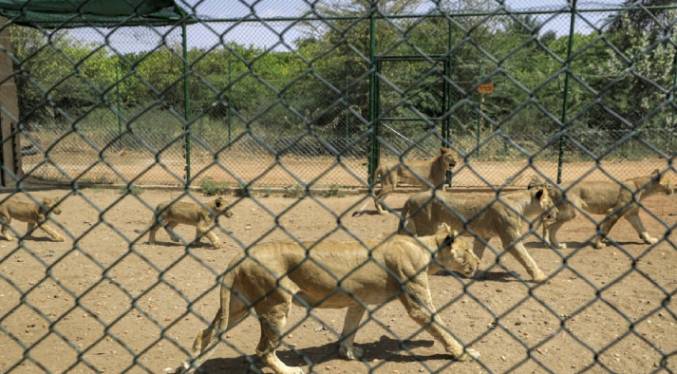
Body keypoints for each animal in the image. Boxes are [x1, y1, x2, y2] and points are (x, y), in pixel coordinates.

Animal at [174, 225, 480, 374]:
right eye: (468, 250)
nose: (477, 263)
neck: (427, 249)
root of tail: (241, 255)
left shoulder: (358, 301)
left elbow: (350, 328)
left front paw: (349, 353)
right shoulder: (418, 304)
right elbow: (443, 328)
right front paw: (465, 353)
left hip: (239, 306)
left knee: (204, 334)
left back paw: (189, 364)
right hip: (276, 305)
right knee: (262, 350)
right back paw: (290, 371)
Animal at [398, 186, 556, 282]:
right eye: (550, 202)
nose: (557, 211)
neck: (523, 207)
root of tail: (411, 197)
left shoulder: (483, 236)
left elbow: (478, 252)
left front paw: (474, 272)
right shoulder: (510, 238)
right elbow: (526, 257)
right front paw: (540, 276)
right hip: (425, 227)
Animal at [532, 169, 672, 248]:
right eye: (674, 181)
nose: (673, 190)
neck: (641, 187)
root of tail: (555, 186)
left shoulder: (631, 214)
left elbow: (642, 228)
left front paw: (650, 240)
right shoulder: (613, 213)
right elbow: (605, 230)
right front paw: (599, 244)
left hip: (566, 212)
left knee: (551, 226)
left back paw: (558, 245)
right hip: (570, 212)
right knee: (547, 222)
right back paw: (546, 242)